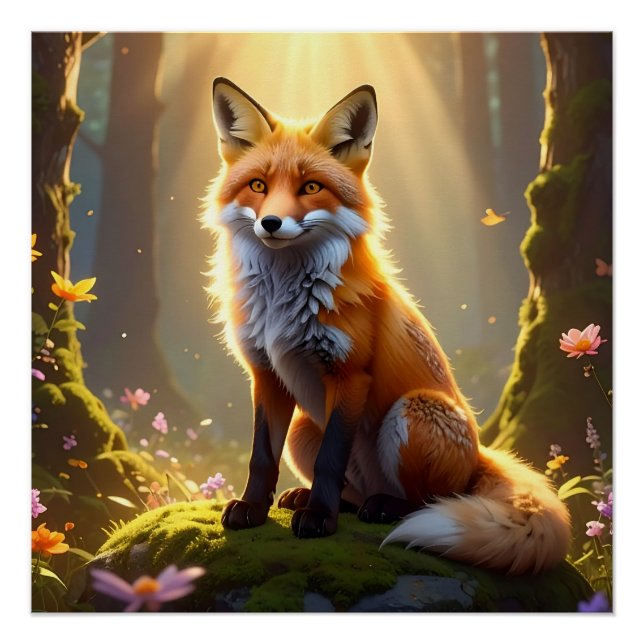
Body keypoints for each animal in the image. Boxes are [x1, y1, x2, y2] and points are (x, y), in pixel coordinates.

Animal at [202, 77, 571, 575]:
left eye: (311, 187)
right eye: (258, 186)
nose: (271, 223)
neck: (284, 301)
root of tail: (480, 455)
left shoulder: (350, 373)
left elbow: (331, 460)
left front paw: (319, 520)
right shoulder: (266, 374)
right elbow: (261, 457)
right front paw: (253, 509)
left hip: (413, 411)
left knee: (429, 501)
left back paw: (380, 508)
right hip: (303, 427)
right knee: (355, 490)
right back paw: (324, 499)